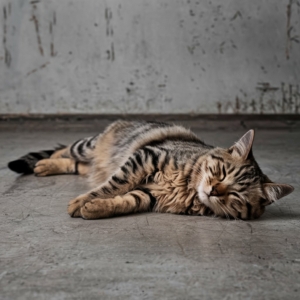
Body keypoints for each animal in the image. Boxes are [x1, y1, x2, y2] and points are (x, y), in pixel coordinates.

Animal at [7, 119, 292, 220]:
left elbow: (125, 200)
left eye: (236, 196)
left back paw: (44, 166)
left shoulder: (150, 194)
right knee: (66, 149)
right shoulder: (146, 157)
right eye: (221, 172)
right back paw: (43, 163)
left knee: (76, 165)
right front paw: (82, 201)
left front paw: (94, 208)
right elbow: (114, 184)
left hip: (89, 161)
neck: (188, 189)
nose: (212, 190)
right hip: (88, 145)